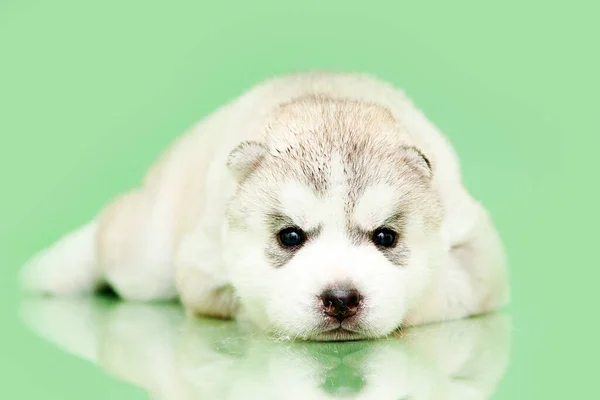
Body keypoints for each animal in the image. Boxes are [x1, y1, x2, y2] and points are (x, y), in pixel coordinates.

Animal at [23, 72, 510, 340]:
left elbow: (442, 288)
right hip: (145, 258)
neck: (326, 105)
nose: (341, 299)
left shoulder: (478, 256)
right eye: (289, 236)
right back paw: (49, 270)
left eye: (385, 237)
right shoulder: (201, 262)